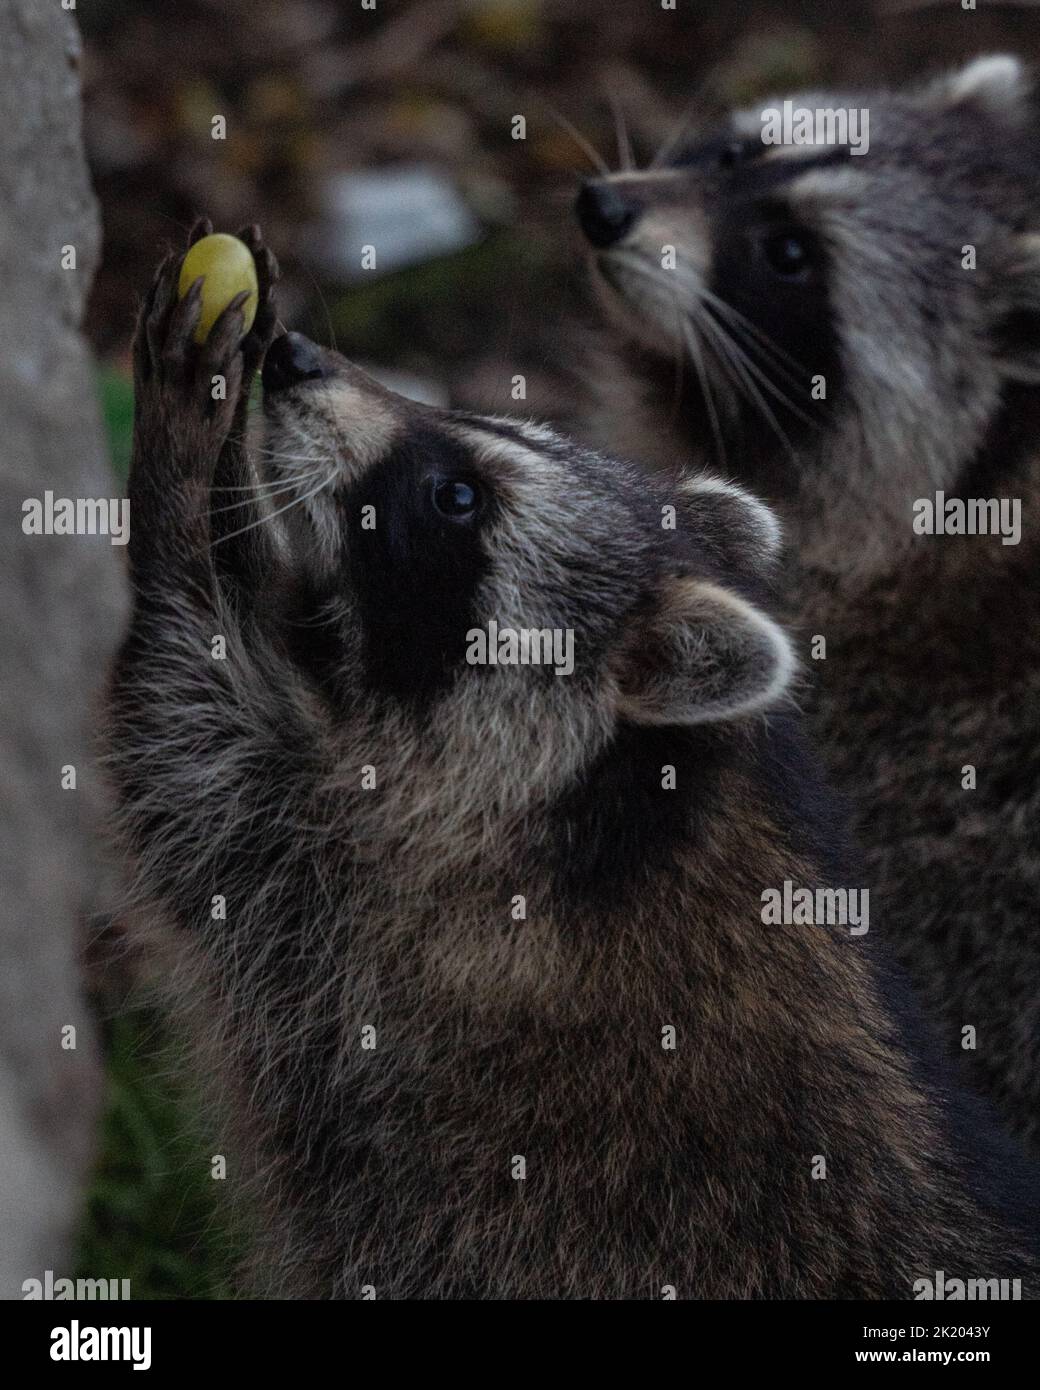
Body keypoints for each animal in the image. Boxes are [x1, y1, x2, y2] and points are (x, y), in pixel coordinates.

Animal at [107, 222, 1040, 1295]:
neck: (628, 810)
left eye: (457, 497)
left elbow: (182, 739)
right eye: (474, 426)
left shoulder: (364, 920)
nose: (297, 357)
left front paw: (184, 460)